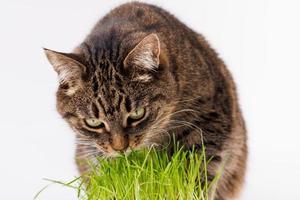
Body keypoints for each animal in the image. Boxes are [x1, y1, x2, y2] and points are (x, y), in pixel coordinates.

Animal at [44, 1, 246, 200]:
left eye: (137, 114)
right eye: (93, 122)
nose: (120, 148)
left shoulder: (210, 120)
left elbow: (196, 172)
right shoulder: (93, 152)